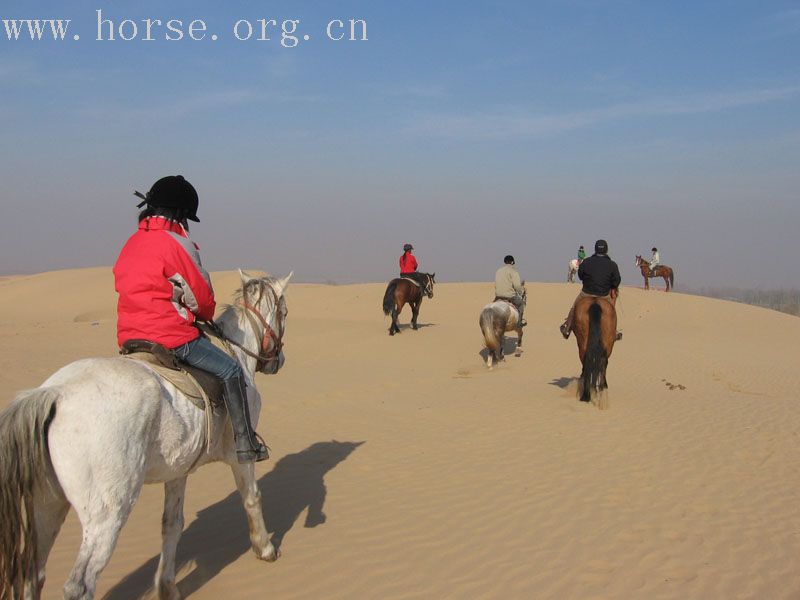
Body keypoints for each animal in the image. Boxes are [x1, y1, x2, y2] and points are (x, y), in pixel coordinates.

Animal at [0, 270, 292, 600]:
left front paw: (167, 587)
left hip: (46, 505)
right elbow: (252, 497)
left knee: (33, 574)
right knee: (79, 584)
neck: (238, 358)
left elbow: (172, 524)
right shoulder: (240, 458)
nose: (278, 361)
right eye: (284, 312)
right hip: (107, 513)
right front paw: (265, 548)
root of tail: (55, 393)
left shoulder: (179, 470)